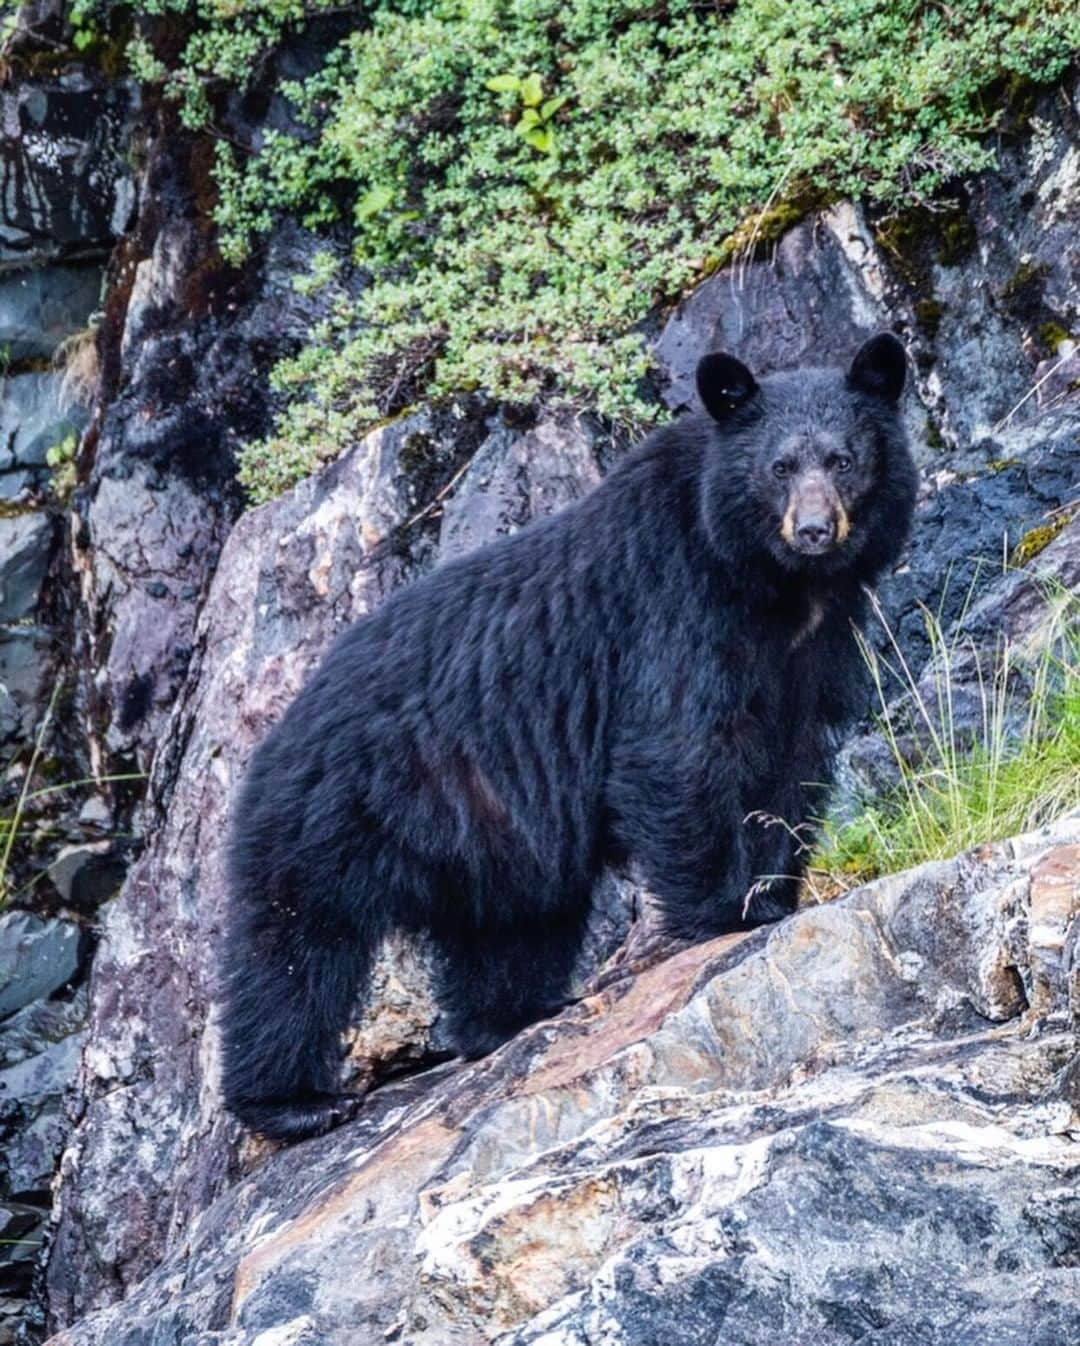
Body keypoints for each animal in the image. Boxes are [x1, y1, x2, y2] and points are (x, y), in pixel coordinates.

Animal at [223, 333, 915, 1136]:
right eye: (778, 467)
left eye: (844, 460)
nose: (812, 530)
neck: (772, 584)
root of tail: (279, 725)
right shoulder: (675, 609)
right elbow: (678, 751)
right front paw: (722, 913)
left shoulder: (812, 651)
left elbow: (792, 766)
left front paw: (772, 892)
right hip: (335, 812)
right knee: (295, 950)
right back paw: (295, 1101)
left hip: (489, 832)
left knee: (513, 930)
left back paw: (513, 1016)